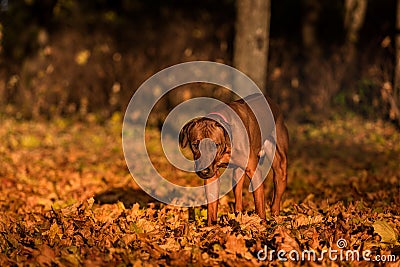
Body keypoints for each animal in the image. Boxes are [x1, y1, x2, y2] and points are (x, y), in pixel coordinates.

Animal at [179, 93, 288, 225]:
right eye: (195, 144)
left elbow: (259, 204)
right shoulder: (212, 176)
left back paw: (275, 216)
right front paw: (211, 227)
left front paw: (262, 223)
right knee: (238, 194)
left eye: (215, 145)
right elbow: (211, 207)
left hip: (279, 163)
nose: (204, 171)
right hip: (237, 174)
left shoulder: (254, 171)